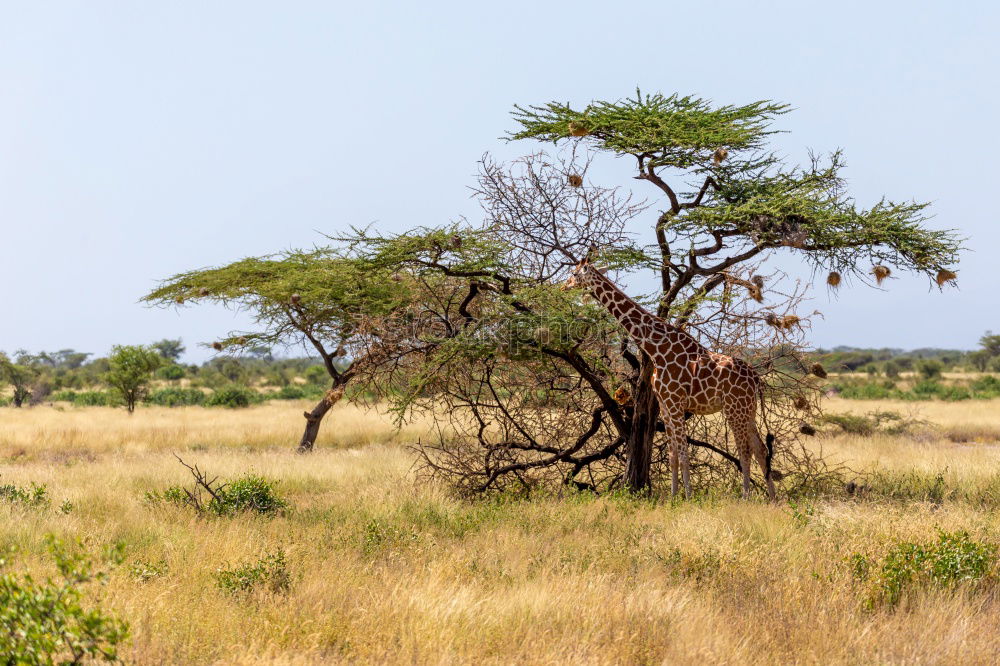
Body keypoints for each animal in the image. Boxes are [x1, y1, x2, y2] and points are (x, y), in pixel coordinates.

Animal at [568, 254, 776, 498]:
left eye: (574, 273)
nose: (564, 285)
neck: (657, 349)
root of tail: (756, 378)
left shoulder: (676, 403)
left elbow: (684, 452)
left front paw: (689, 496)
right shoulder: (665, 405)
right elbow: (673, 454)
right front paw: (673, 496)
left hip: (734, 408)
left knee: (745, 450)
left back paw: (745, 497)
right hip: (748, 409)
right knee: (760, 449)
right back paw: (773, 498)